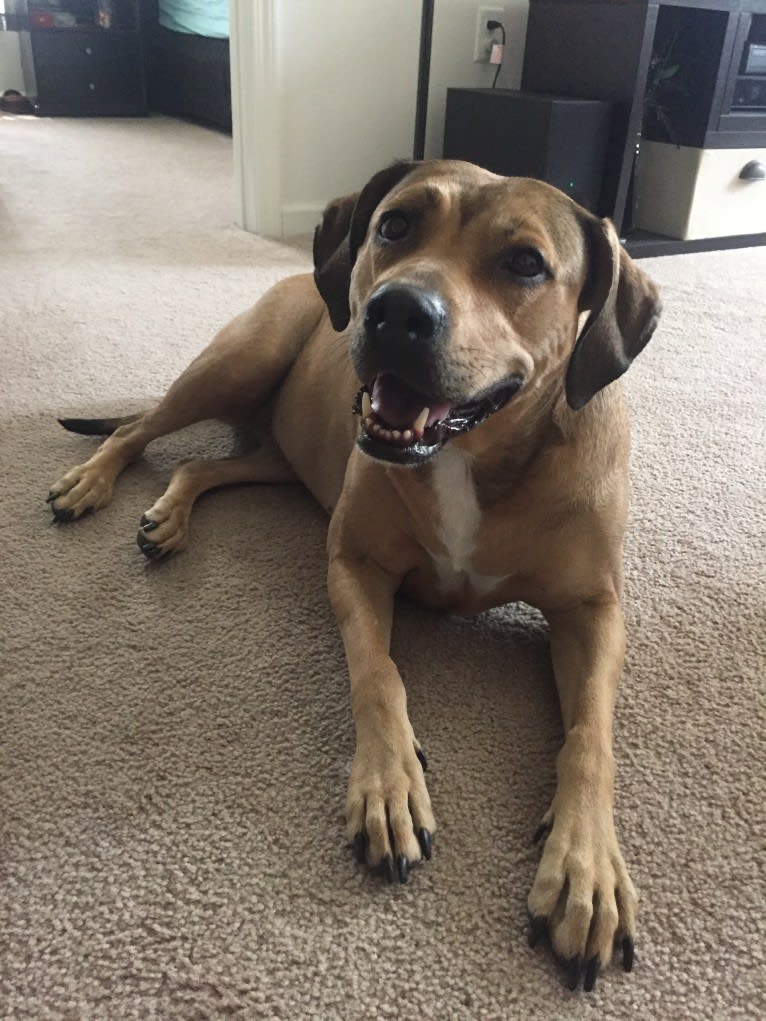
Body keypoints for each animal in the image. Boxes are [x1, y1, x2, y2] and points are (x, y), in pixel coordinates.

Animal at [48, 159, 661, 988]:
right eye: (396, 224)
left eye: (526, 263)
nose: (396, 311)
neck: (473, 455)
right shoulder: (355, 562)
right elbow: (378, 673)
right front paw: (390, 783)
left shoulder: (592, 610)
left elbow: (591, 735)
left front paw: (586, 868)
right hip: (236, 364)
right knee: (138, 429)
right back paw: (92, 482)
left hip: (284, 453)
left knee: (205, 465)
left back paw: (170, 515)